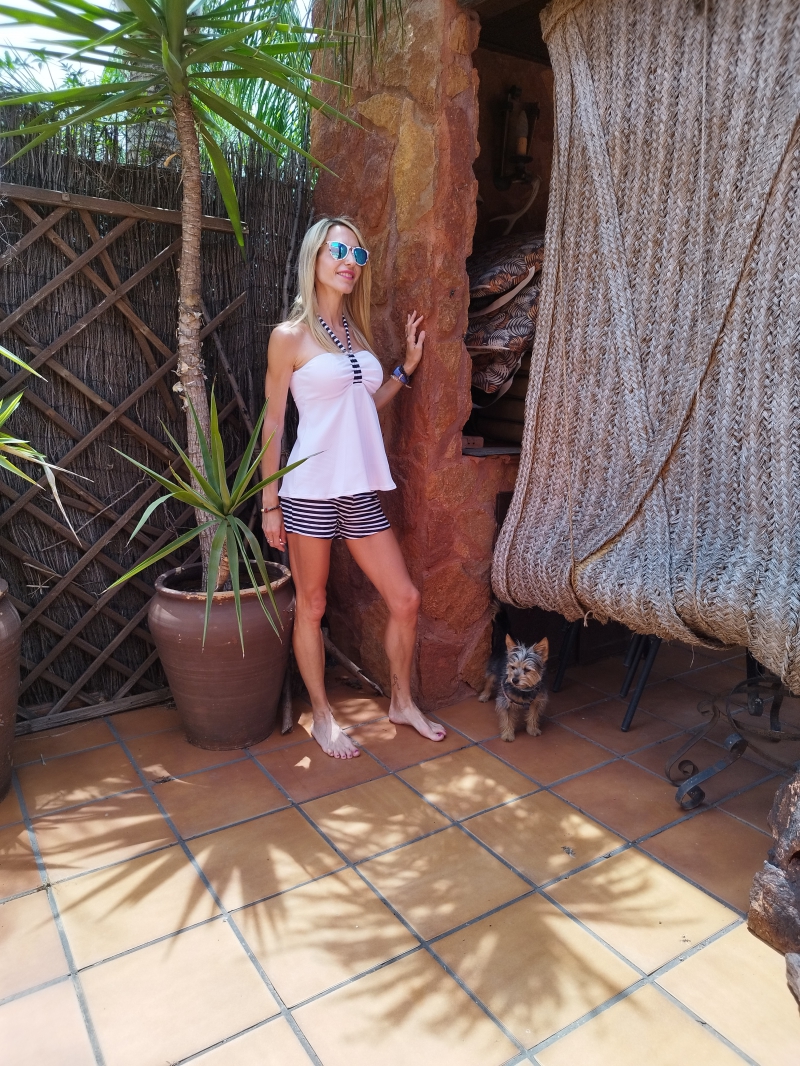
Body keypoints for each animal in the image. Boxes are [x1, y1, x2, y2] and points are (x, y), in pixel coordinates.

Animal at [478, 602, 549, 742]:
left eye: (527, 670)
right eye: (512, 667)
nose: (514, 680)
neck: (523, 690)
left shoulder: (537, 700)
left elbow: (533, 715)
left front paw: (532, 729)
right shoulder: (505, 702)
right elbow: (507, 719)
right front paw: (507, 734)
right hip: (492, 669)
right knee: (488, 681)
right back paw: (484, 695)